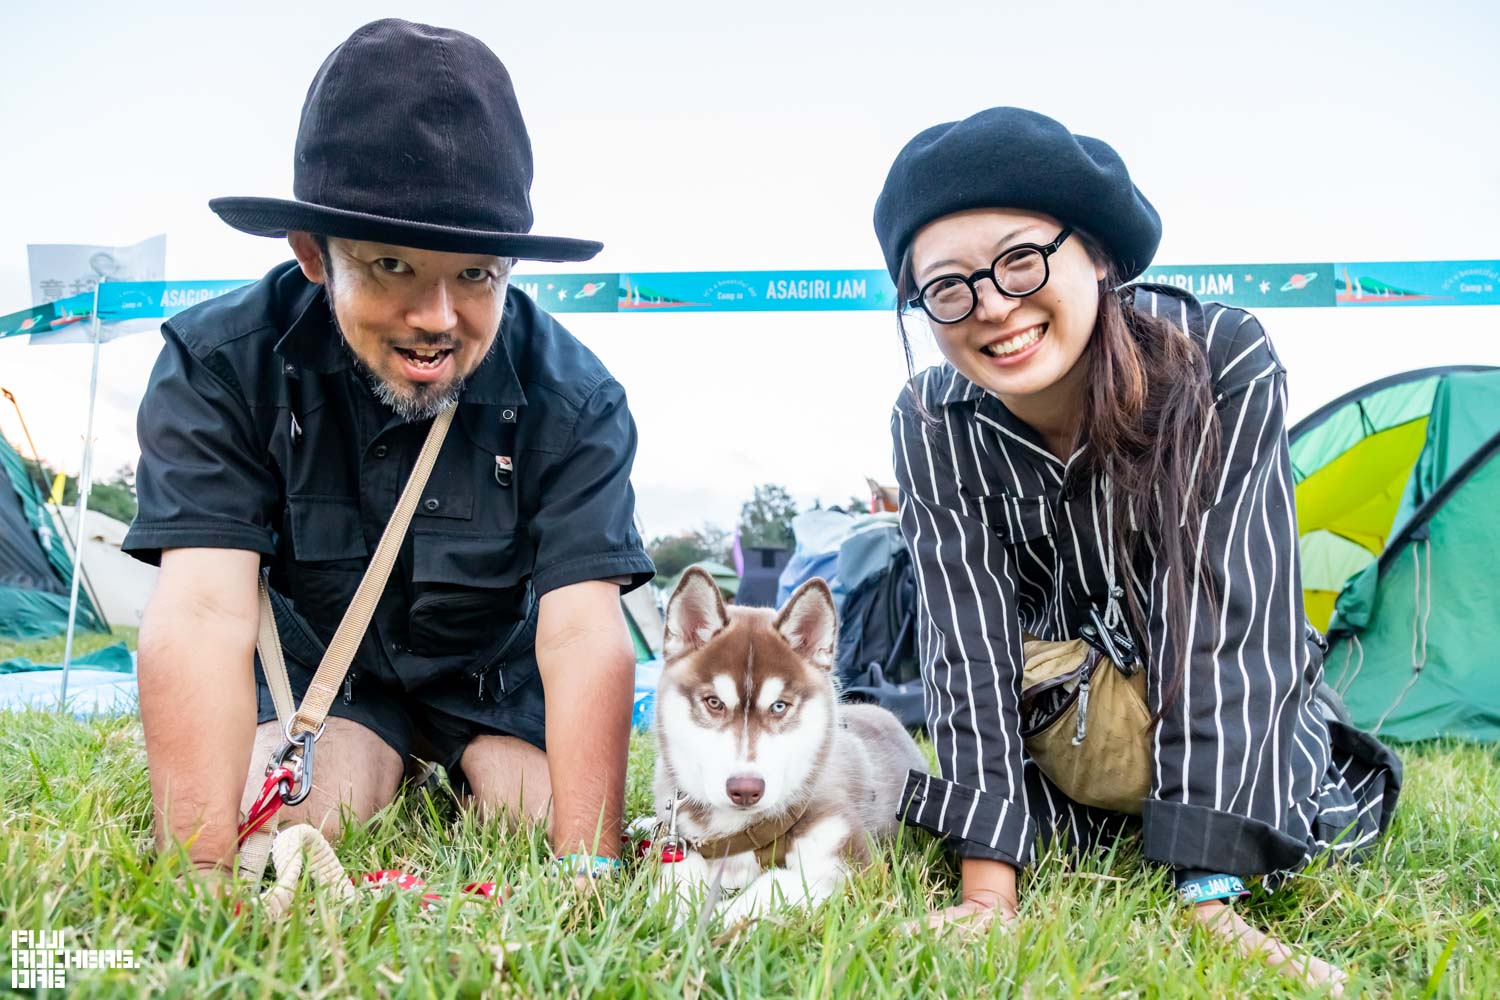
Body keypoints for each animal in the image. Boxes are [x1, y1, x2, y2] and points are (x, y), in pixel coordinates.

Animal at [648, 566, 924, 929]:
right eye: (714, 702)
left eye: (779, 706)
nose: (745, 789)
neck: (741, 834)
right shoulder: (683, 841)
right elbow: (676, 878)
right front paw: (675, 911)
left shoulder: (852, 867)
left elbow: (772, 884)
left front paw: (712, 920)